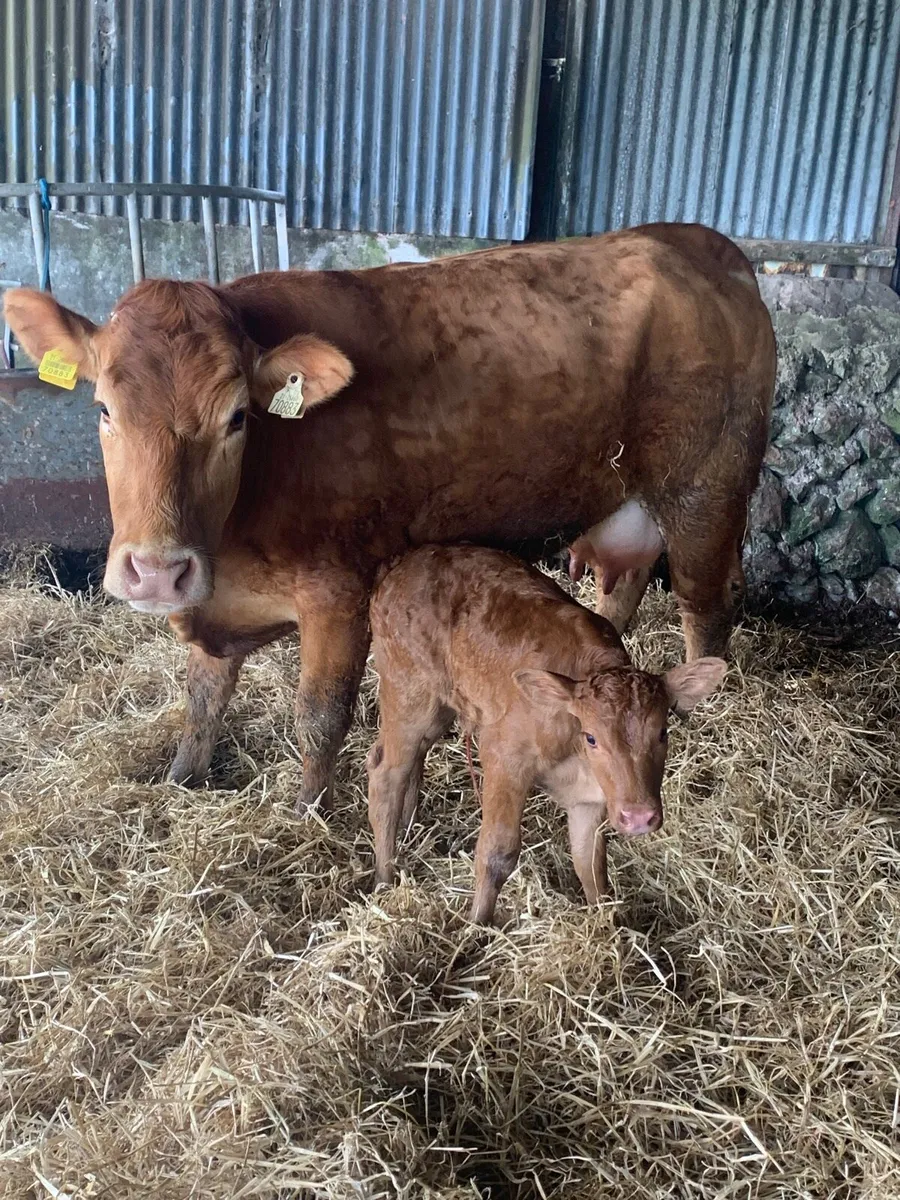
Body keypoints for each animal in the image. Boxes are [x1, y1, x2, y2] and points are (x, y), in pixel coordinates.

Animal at [3, 223, 775, 812]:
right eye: (103, 408)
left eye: (237, 417)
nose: (158, 572)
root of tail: (693, 241)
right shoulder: (215, 605)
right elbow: (202, 699)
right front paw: (180, 780)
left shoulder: (339, 594)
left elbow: (319, 719)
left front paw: (307, 816)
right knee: (623, 593)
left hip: (705, 493)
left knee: (707, 611)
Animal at [367, 544, 726, 922]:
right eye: (592, 737)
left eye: (662, 733)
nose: (640, 818)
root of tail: (406, 560)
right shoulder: (504, 757)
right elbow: (497, 853)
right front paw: (477, 926)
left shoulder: (589, 799)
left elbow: (591, 864)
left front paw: (606, 925)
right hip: (410, 694)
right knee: (385, 773)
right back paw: (384, 878)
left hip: (440, 707)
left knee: (412, 761)